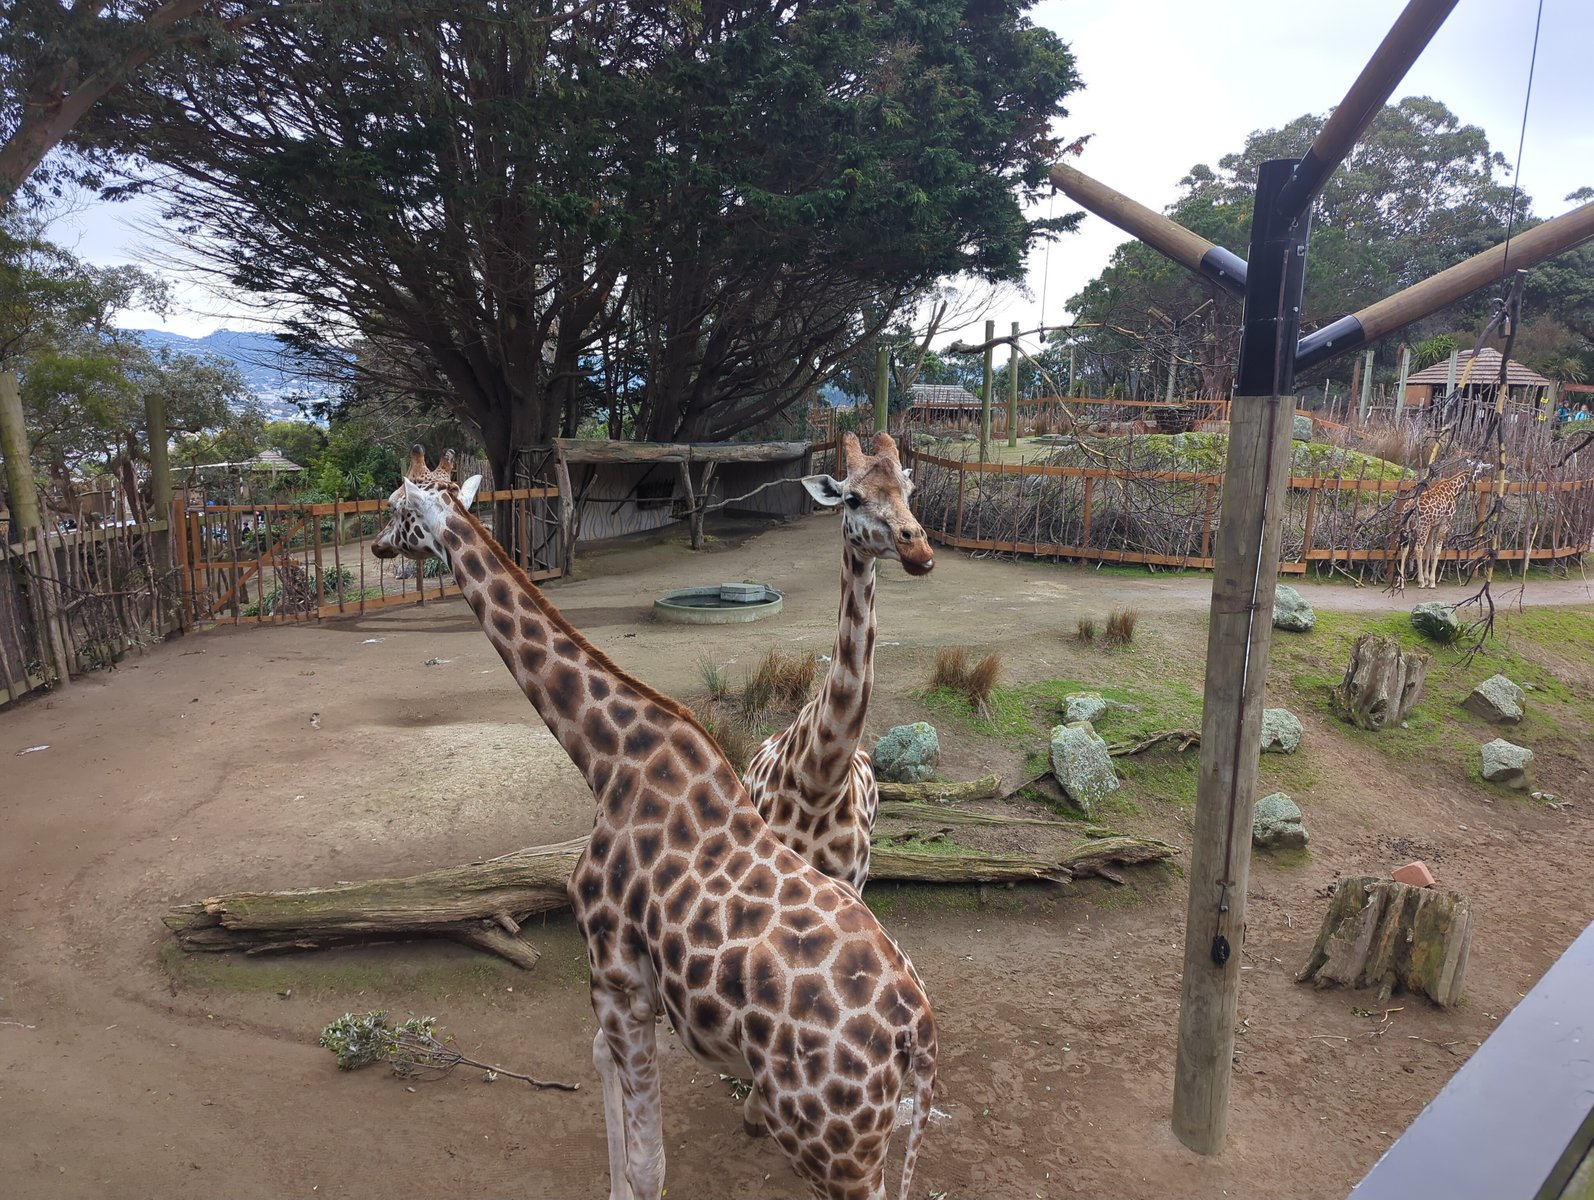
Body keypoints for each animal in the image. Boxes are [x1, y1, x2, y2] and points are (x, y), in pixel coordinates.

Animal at [1396, 458, 1491, 589]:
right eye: (1481, 469)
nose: (1480, 481)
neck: (1453, 489)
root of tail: (1409, 507)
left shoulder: (1434, 524)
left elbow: (1429, 548)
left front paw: (1427, 578)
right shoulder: (1445, 523)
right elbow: (1437, 550)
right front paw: (1431, 581)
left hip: (1407, 526)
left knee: (1404, 548)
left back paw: (1401, 582)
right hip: (1423, 526)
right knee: (1418, 548)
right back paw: (1420, 582)